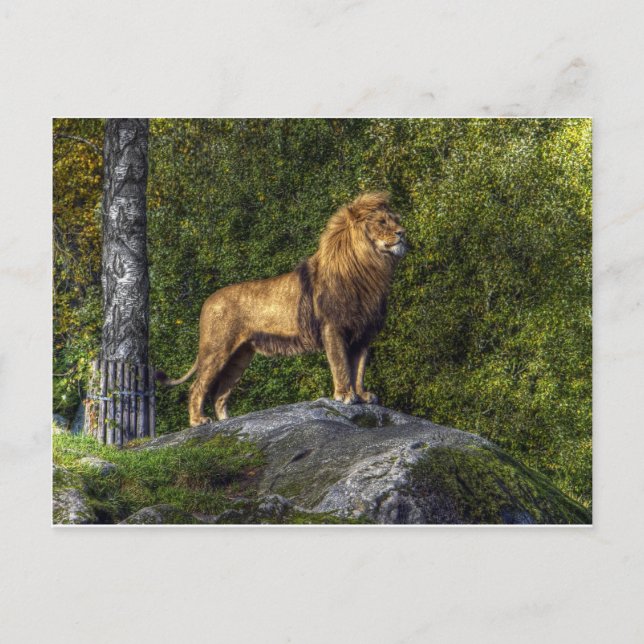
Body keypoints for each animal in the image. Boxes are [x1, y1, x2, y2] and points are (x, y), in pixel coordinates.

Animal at [157, 192, 407, 426]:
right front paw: (345, 395)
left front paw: (362, 396)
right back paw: (198, 421)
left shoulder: (364, 334)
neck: (370, 267)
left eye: (396, 220)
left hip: (240, 356)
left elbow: (359, 369)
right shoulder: (333, 328)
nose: (403, 232)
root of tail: (207, 301)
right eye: (382, 222)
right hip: (217, 349)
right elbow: (341, 365)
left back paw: (228, 422)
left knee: (220, 393)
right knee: (197, 387)